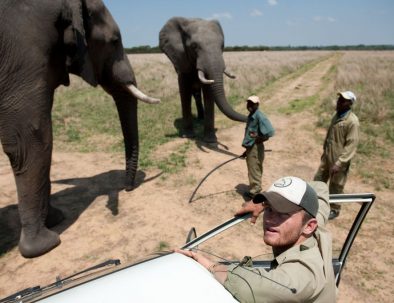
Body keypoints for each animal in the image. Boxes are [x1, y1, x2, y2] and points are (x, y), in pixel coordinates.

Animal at [0, 0, 160, 258]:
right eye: (114, 41)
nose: (128, 188)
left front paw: (56, 219)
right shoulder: (23, 54)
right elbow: (32, 139)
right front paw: (44, 245)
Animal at [158, 16, 245, 144]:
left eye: (222, 46)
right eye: (194, 46)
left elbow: (208, 92)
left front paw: (210, 140)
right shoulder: (181, 60)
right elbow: (184, 91)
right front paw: (188, 136)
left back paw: (201, 118)